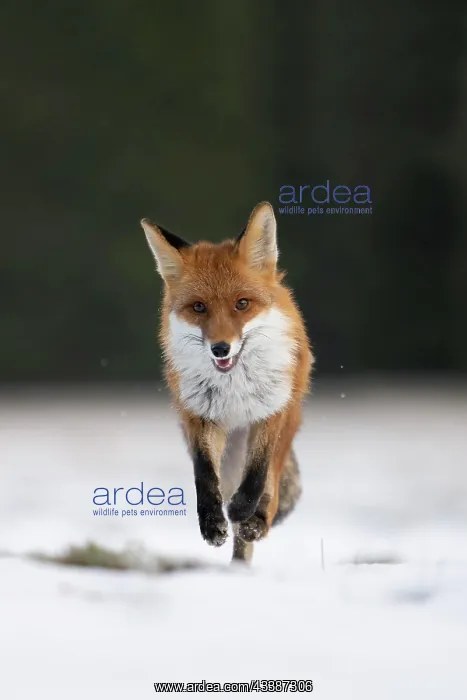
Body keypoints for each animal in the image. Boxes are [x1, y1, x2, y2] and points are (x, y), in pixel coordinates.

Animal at [141, 202, 312, 564]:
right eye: (199, 307)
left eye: (242, 304)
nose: (221, 348)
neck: (235, 390)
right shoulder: (199, 417)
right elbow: (205, 474)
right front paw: (212, 523)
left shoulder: (271, 412)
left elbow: (260, 474)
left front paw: (245, 512)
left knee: (271, 487)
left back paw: (255, 522)